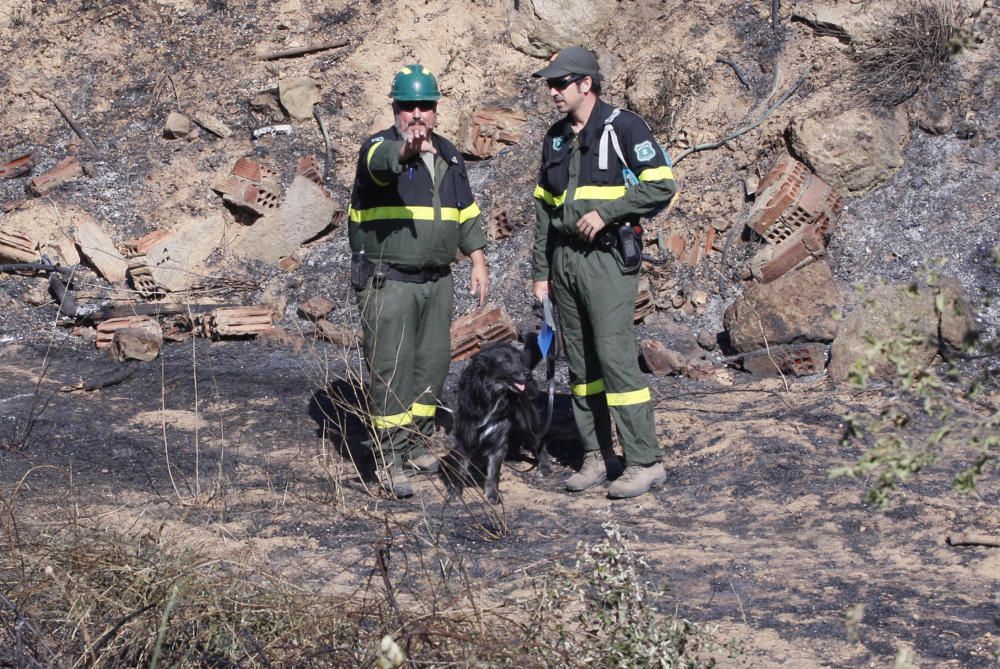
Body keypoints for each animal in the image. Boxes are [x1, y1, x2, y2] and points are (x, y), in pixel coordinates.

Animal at [444, 344, 544, 500]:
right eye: (506, 361)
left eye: (519, 360)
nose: (528, 374)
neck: (490, 396)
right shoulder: (465, 437)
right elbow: (460, 470)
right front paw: (455, 494)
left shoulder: (498, 438)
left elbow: (494, 472)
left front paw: (492, 495)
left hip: (527, 420)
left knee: (539, 439)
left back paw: (544, 466)